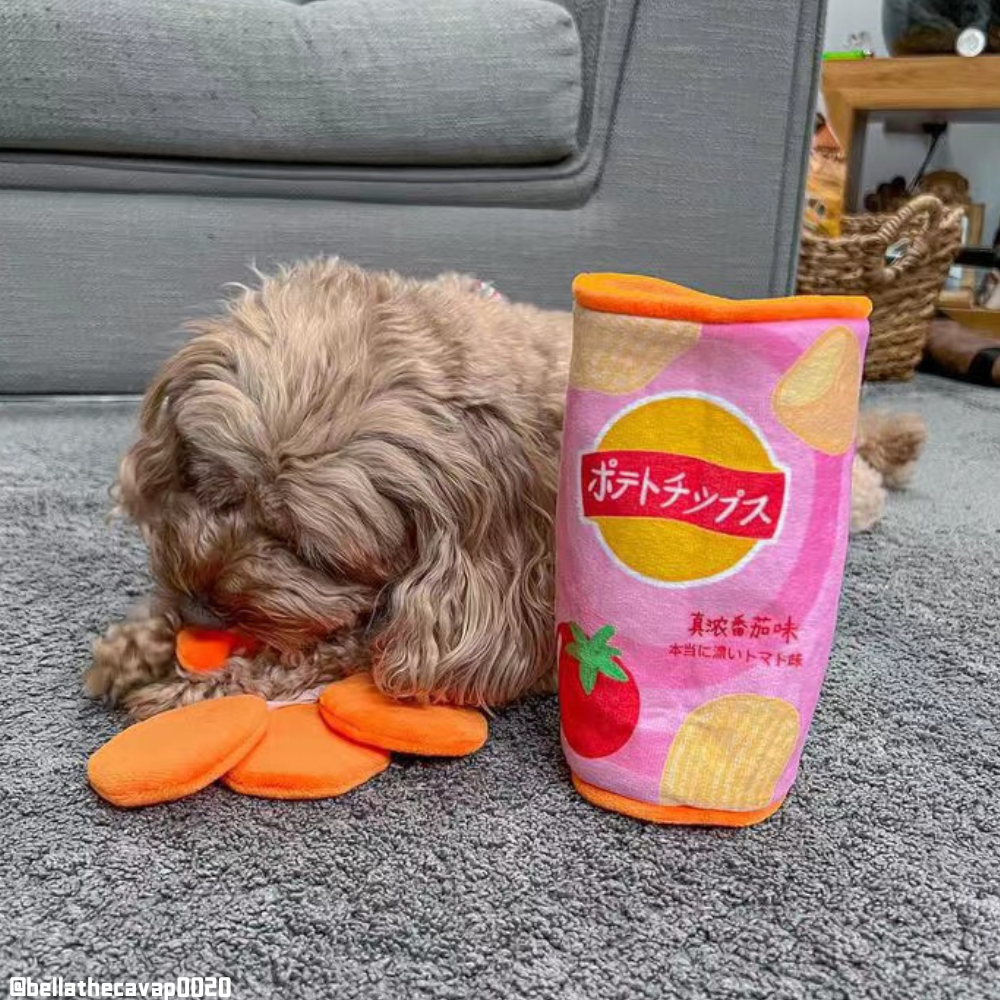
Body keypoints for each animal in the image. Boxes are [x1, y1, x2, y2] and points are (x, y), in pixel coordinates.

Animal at [90, 260, 924, 720]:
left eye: (306, 549)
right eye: (208, 484)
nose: (204, 605)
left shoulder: (486, 595)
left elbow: (334, 648)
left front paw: (188, 687)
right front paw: (141, 643)